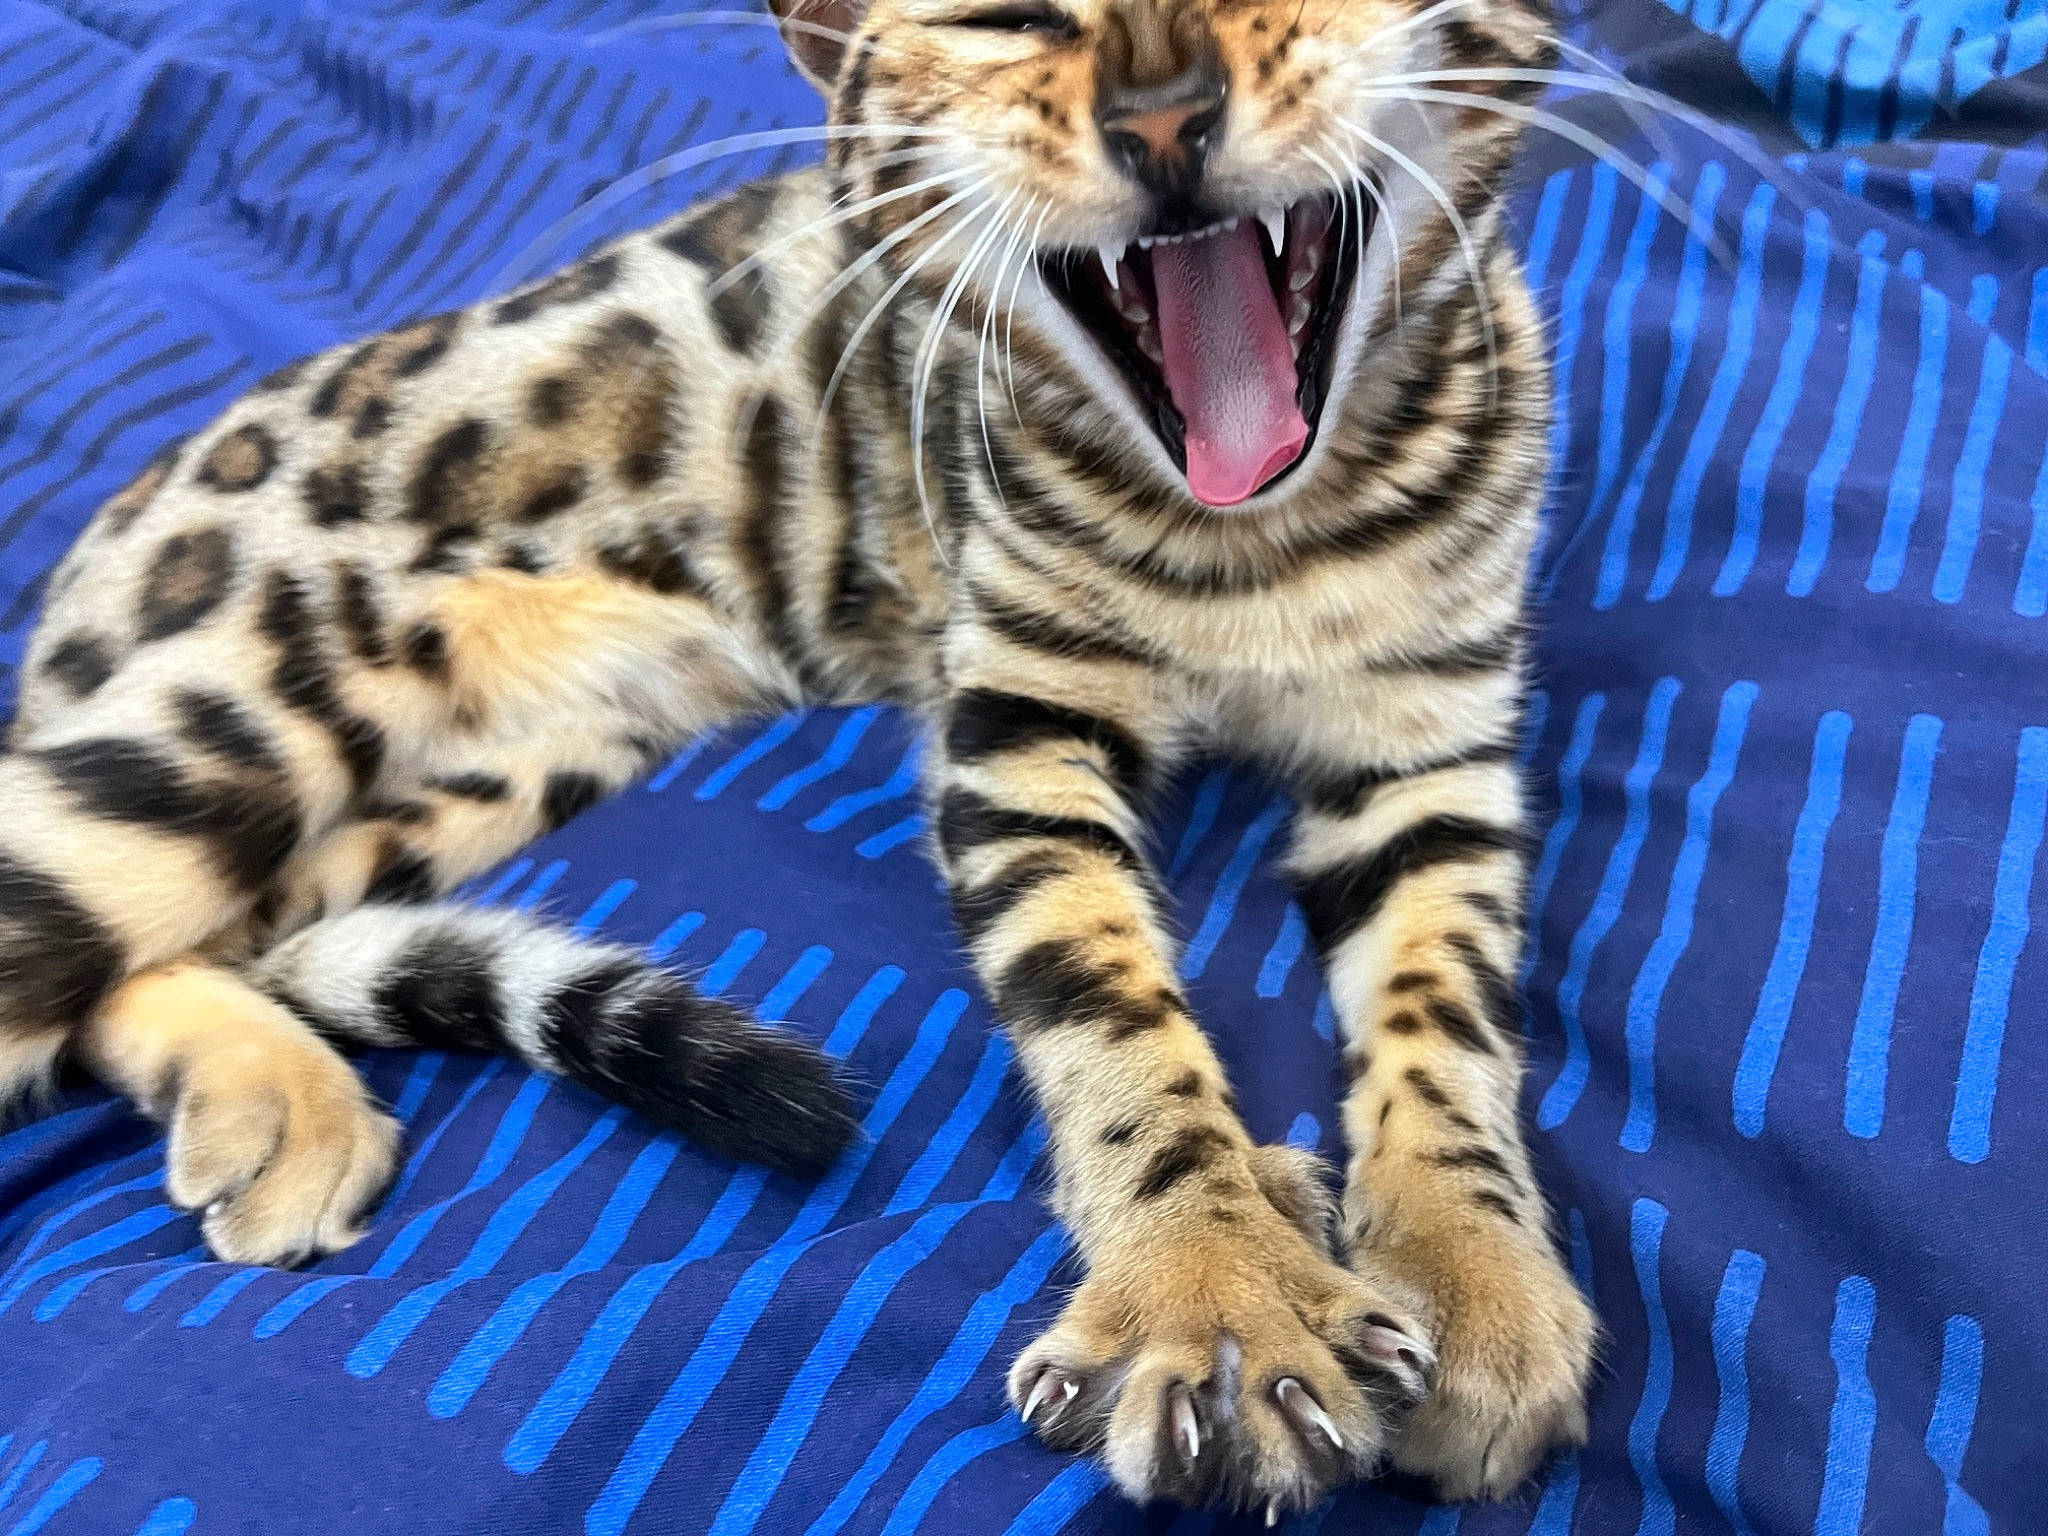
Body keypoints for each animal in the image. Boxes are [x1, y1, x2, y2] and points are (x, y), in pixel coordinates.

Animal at [0, 0, 1596, 1518]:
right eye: (1003, 24)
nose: (1161, 113)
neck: (1261, 530)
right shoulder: (1010, 729)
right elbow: (1099, 1006)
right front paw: (1212, 1281)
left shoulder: (1431, 752)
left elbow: (1446, 1008)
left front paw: (1471, 1271)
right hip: (251, 715)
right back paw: (280, 1099)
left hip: (531, 759)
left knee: (220, 944)